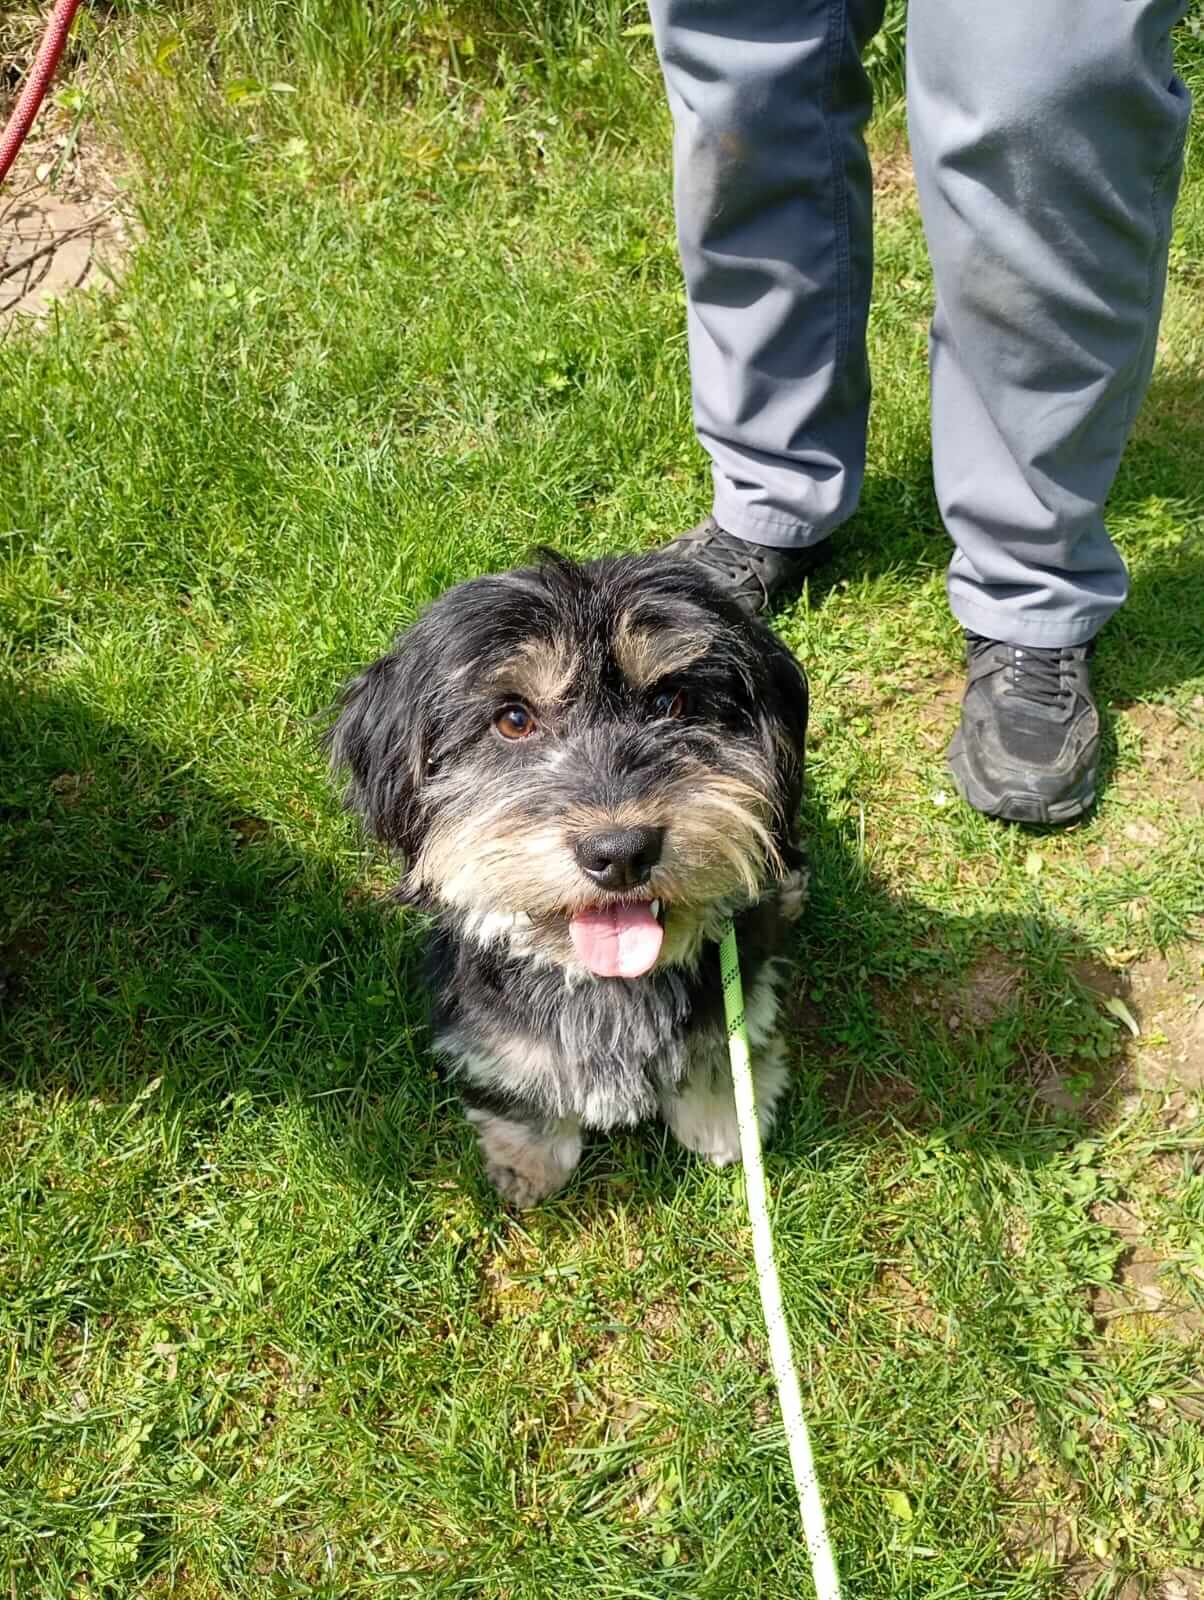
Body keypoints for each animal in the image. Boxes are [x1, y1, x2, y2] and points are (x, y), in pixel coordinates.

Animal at [327, 550, 809, 1206]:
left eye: (671, 701)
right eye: (513, 719)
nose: (621, 852)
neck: (606, 984)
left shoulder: (735, 986)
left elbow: (721, 1051)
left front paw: (724, 1121)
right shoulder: (489, 1021)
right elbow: (520, 1076)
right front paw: (528, 1160)